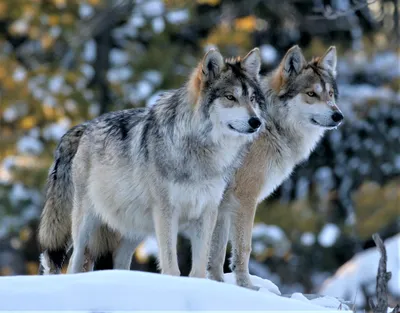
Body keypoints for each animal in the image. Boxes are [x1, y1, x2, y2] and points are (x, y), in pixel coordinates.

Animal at [39, 47, 268, 276]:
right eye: (230, 97)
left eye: (252, 98)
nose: (256, 122)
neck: (202, 152)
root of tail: (84, 126)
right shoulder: (166, 212)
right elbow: (171, 266)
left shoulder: (207, 212)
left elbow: (199, 269)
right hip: (86, 222)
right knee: (74, 262)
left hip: (133, 230)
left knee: (119, 262)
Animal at [206, 45, 344, 288]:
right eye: (311, 94)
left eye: (330, 94)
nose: (339, 115)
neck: (272, 126)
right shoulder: (244, 198)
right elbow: (244, 248)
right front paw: (247, 287)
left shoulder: (222, 204)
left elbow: (216, 254)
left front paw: (217, 284)